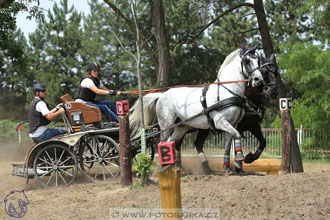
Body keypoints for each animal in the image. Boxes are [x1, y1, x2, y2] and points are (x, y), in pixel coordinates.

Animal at [130, 44, 264, 172]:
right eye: (247, 61)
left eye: (258, 60)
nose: (258, 79)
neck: (227, 92)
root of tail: (162, 95)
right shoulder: (220, 122)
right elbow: (237, 135)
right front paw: (240, 158)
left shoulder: (233, 124)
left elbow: (229, 144)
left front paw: (228, 168)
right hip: (166, 125)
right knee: (162, 142)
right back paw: (164, 167)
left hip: (181, 127)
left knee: (171, 142)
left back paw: (173, 167)